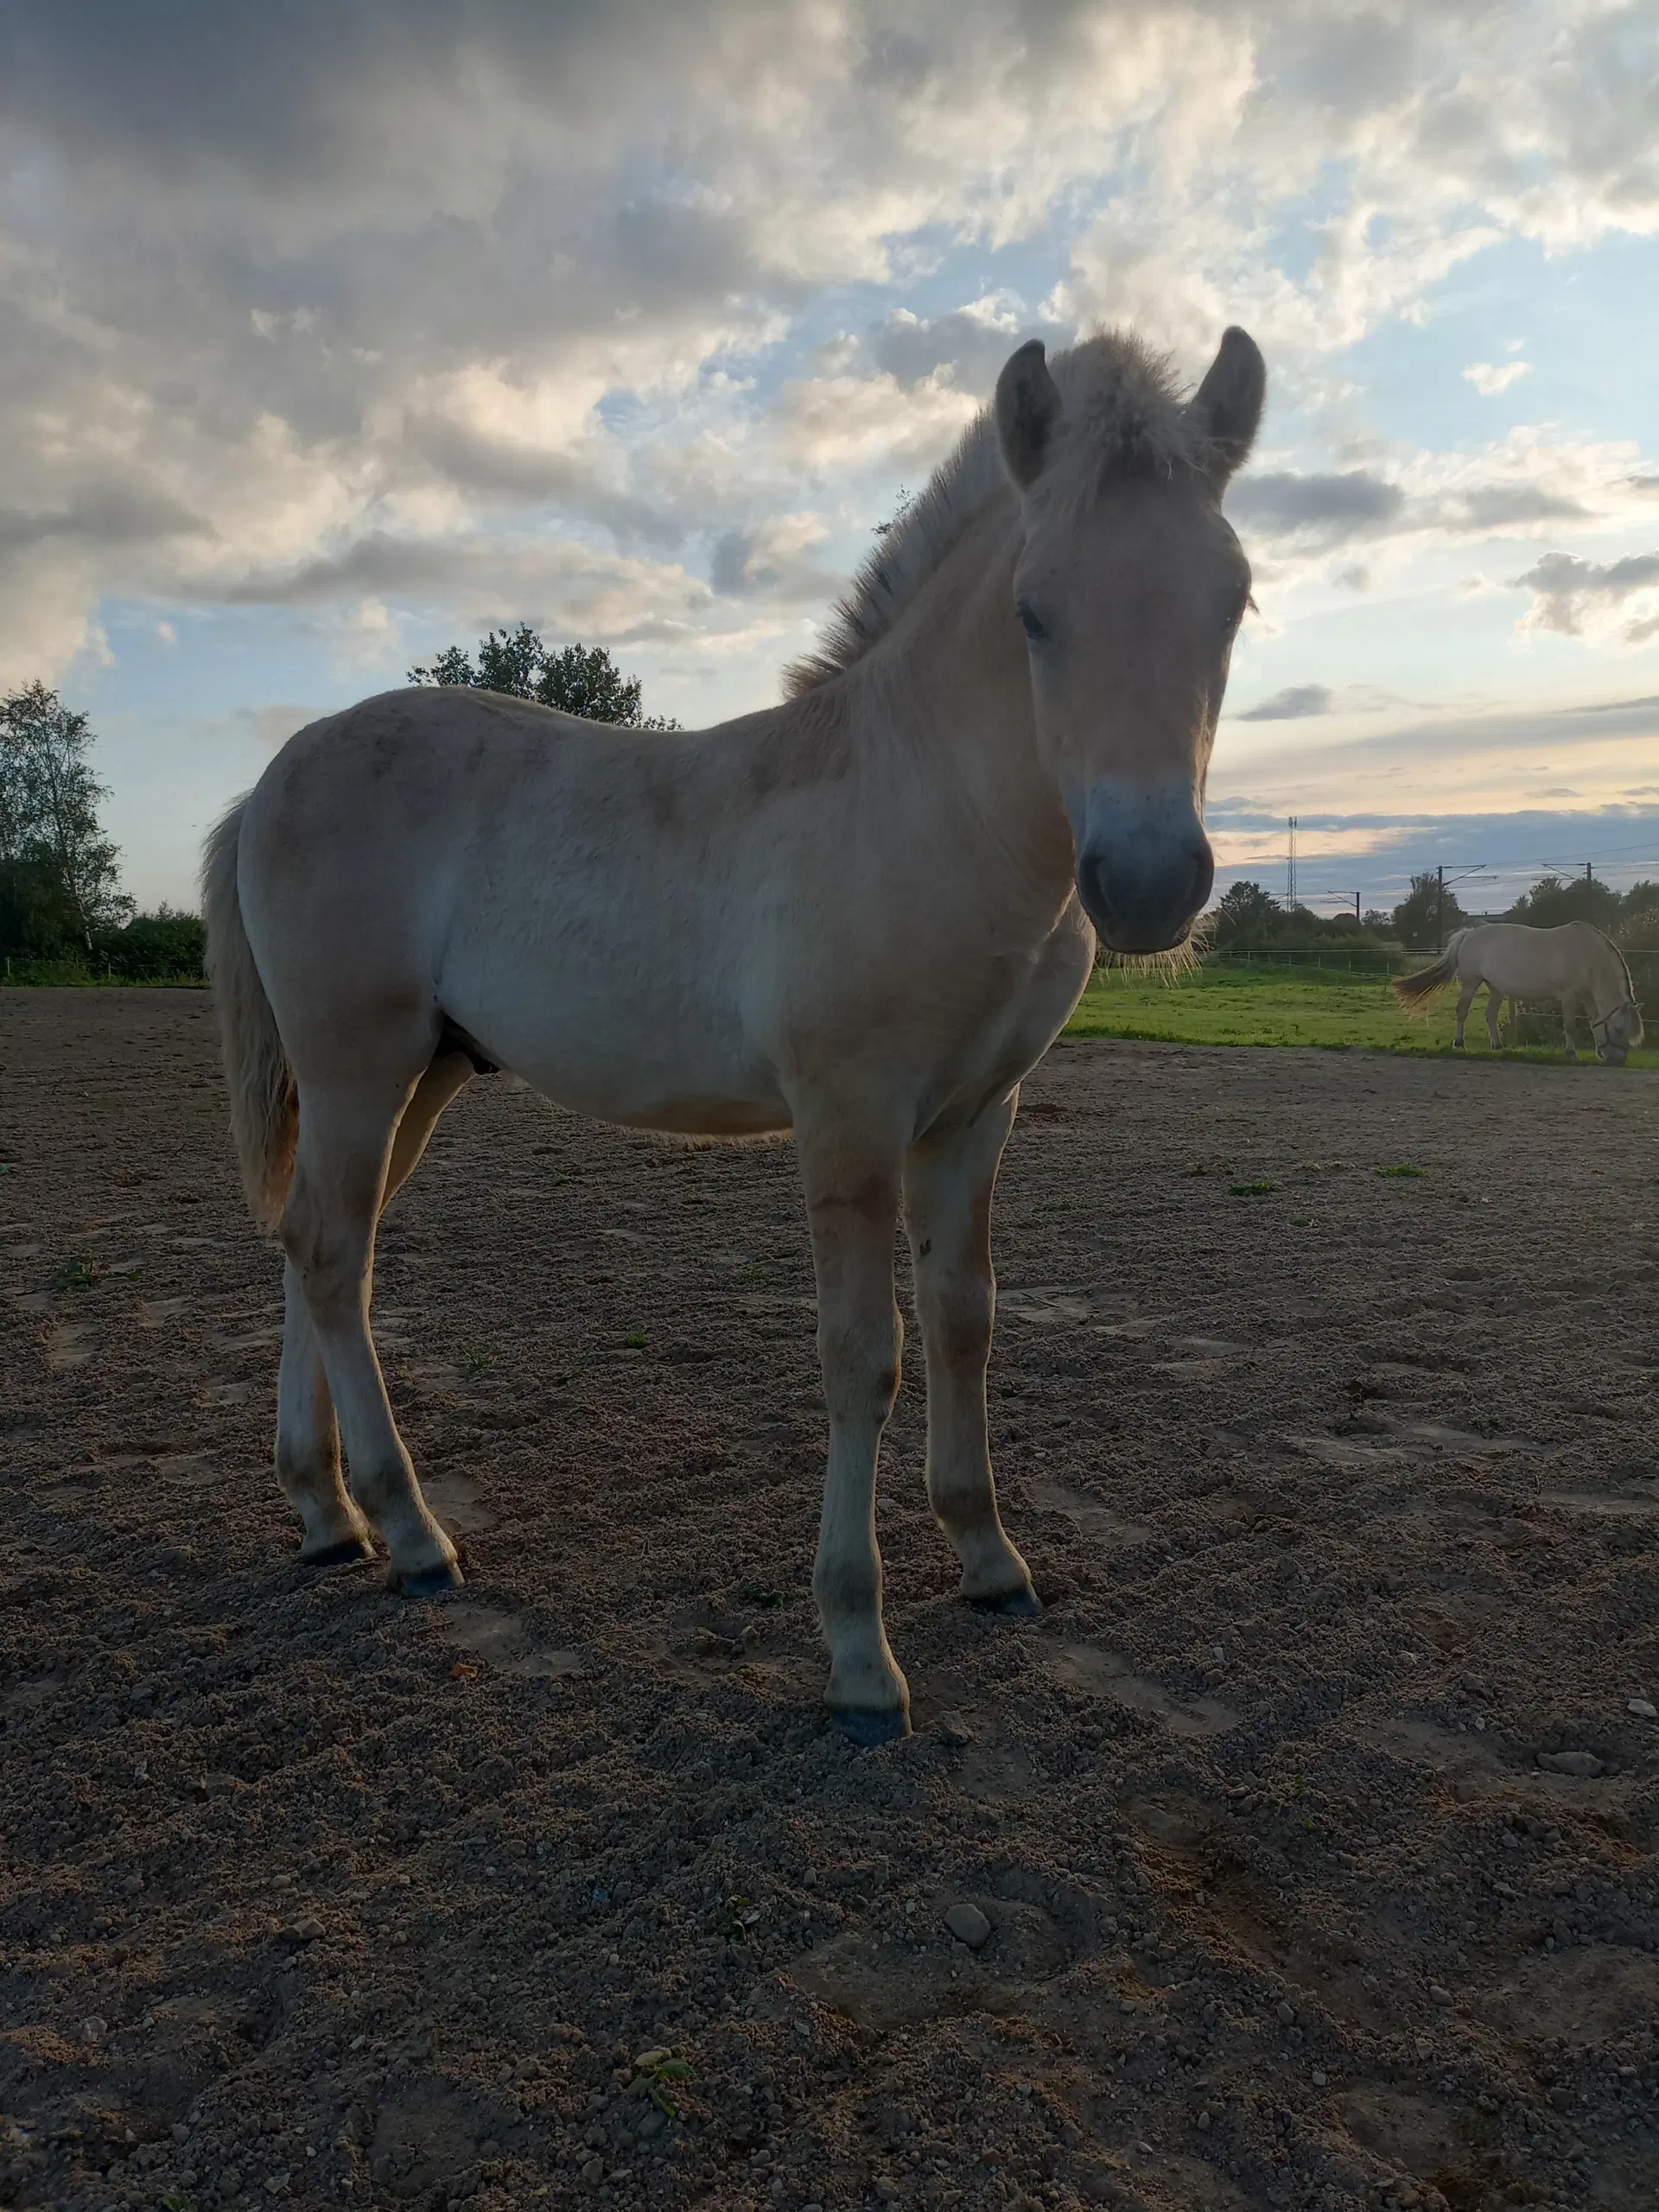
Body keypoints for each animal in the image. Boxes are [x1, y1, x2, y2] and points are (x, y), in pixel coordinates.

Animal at [204, 327, 1274, 1743]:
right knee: (331, 1256)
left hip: (415, 1079)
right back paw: (412, 1533)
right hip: (356, 1067)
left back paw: (325, 1514)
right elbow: (864, 1355)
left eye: (1233, 602)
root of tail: (270, 778)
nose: (1148, 882)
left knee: (313, 1242)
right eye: (1034, 609)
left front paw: (989, 1559)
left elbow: (965, 1319)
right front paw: (860, 1652)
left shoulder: (974, 1118)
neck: (918, 805)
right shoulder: (849, 1115)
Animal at [1407, 911, 1654, 1057]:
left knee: (1490, 1014)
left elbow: (1594, 1023)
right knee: (1462, 1011)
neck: (1586, 953)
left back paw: (1498, 1046)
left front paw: (1597, 1052)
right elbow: (1570, 1025)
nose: (1617, 1061)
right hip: (1470, 983)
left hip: (1496, 988)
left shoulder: (1587, 996)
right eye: (1620, 1029)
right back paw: (1459, 1043)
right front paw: (1570, 1052)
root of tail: (1468, 933)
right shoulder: (1568, 995)